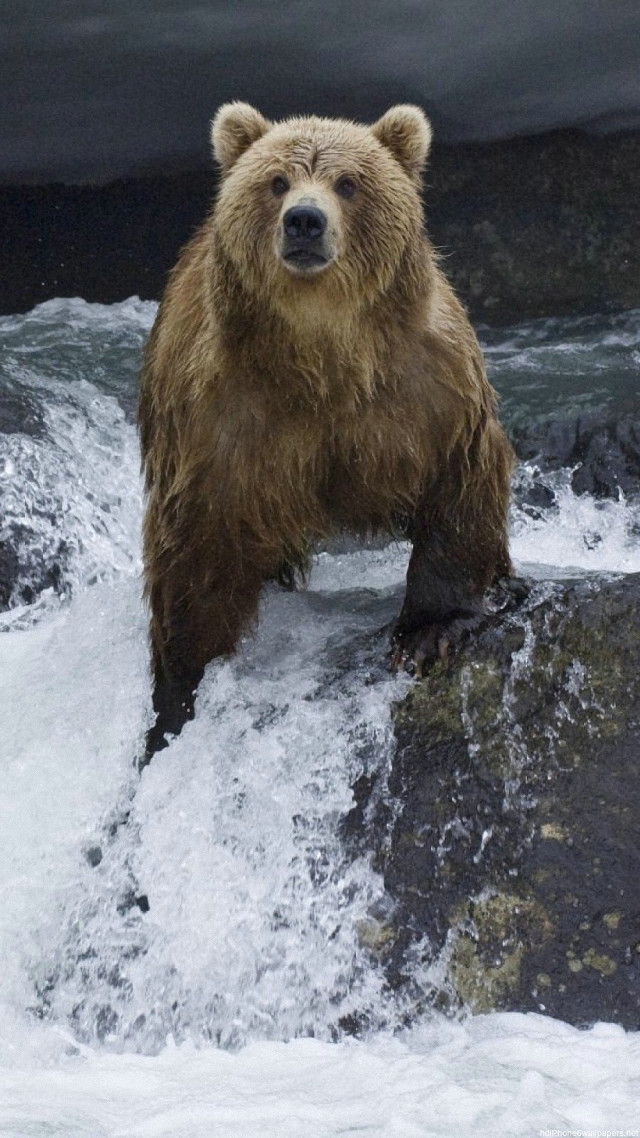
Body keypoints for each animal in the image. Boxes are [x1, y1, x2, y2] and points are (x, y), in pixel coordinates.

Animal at [139, 101, 514, 763]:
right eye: (277, 181)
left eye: (348, 183)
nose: (305, 222)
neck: (322, 354)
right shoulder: (220, 416)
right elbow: (195, 547)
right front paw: (178, 694)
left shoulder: (425, 386)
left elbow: (459, 483)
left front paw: (428, 632)